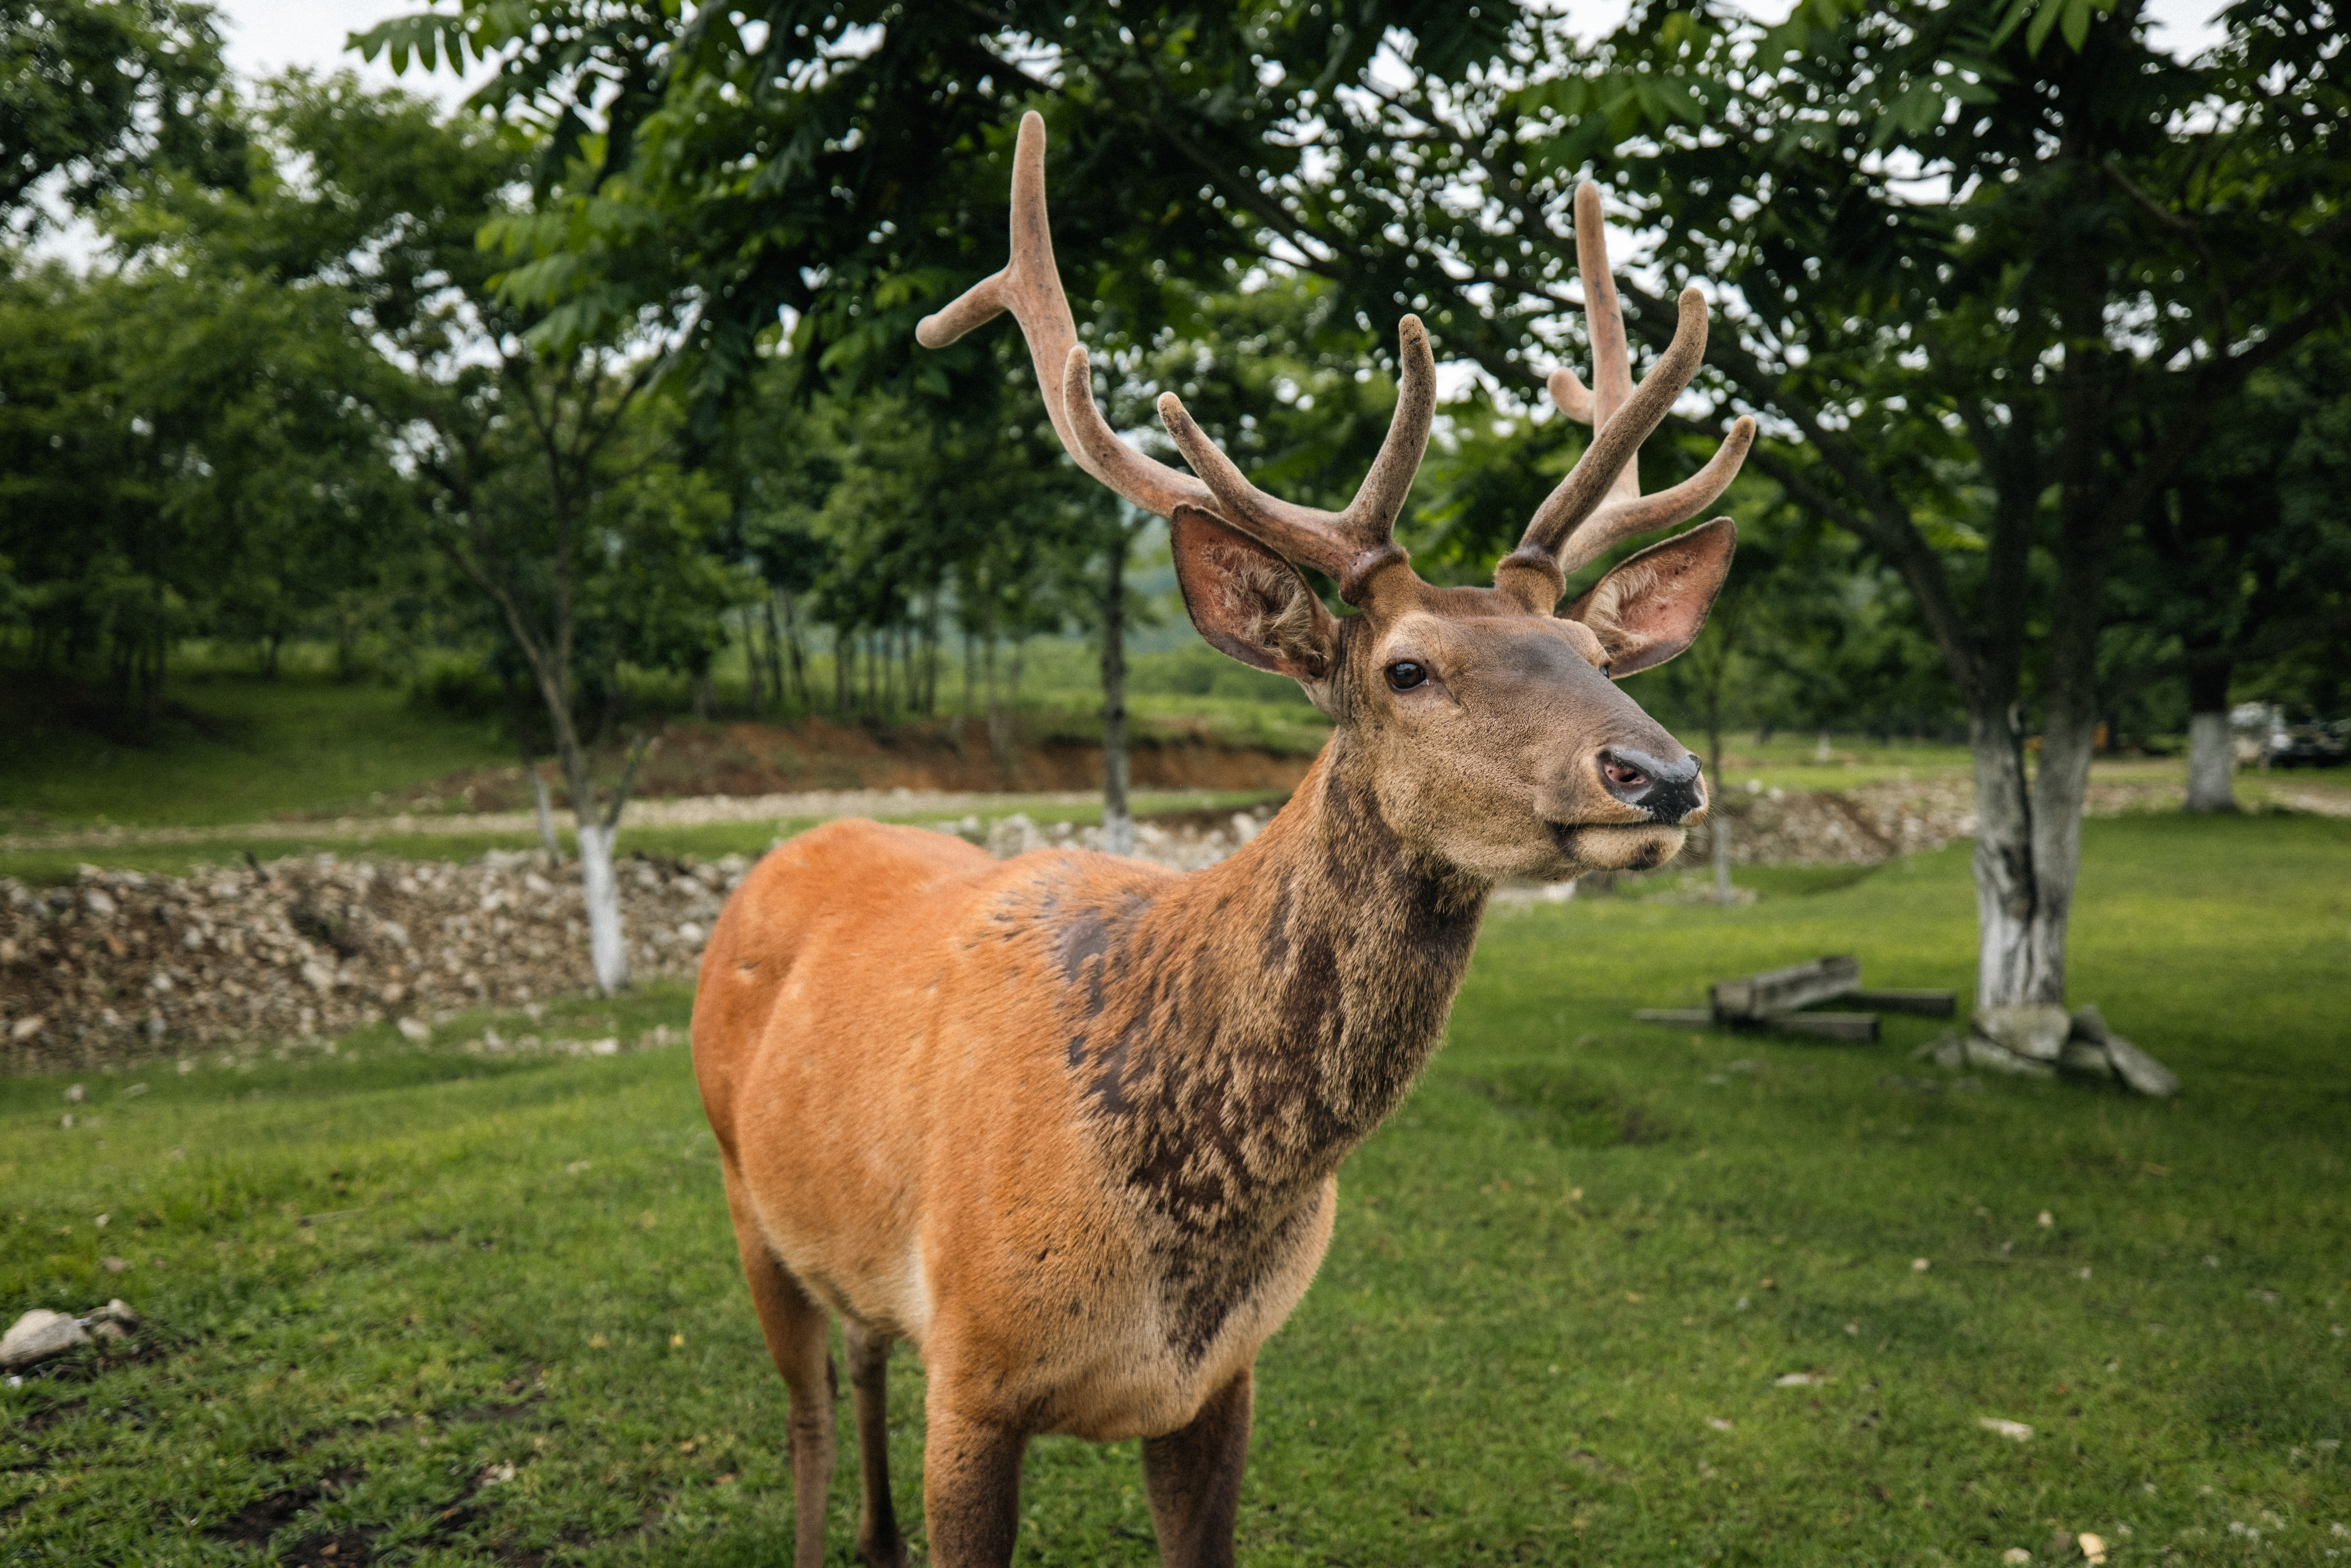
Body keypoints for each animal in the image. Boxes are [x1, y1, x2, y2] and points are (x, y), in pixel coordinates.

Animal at [692, 112, 1756, 1568]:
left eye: (1596, 656)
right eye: (1407, 669)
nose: (1660, 775)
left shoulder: (1226, 1378)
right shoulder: (972, 1367)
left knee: (859, 1355)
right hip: (739, 1186)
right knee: (801, 1410)